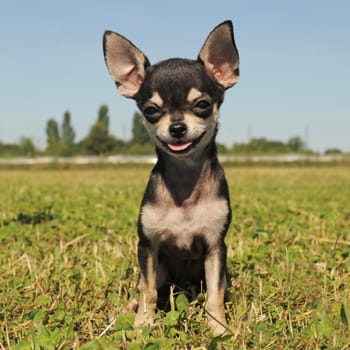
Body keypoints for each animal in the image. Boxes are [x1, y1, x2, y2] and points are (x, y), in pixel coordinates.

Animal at [102, 19, 239, 336]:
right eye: (151, 110)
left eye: (202, 104)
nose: (177, 127)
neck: (184, 180)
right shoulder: (147, 247)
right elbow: (148, 291)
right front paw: (142, 325)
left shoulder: (216, 248)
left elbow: (215, 295)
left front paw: (219, 329)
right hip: (161, 268)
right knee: (142, 288)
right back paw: (128, 308)